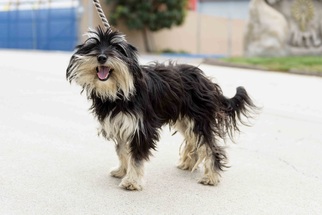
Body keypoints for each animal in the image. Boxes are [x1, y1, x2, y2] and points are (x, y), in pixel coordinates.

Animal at [66, 26, 258, 190]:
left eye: (117, 48)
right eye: (93, 46)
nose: (101, 57)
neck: (119, 91)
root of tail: (207, 81)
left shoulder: (141, 128)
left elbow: (136, 157)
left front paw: (132, 181)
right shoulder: (119, 125)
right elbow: (122, 151)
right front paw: (122, 171)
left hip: (199, 121)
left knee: (210, 147)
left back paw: (211, 177)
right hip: (185, 120)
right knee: (194, 142)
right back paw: (189, 164)